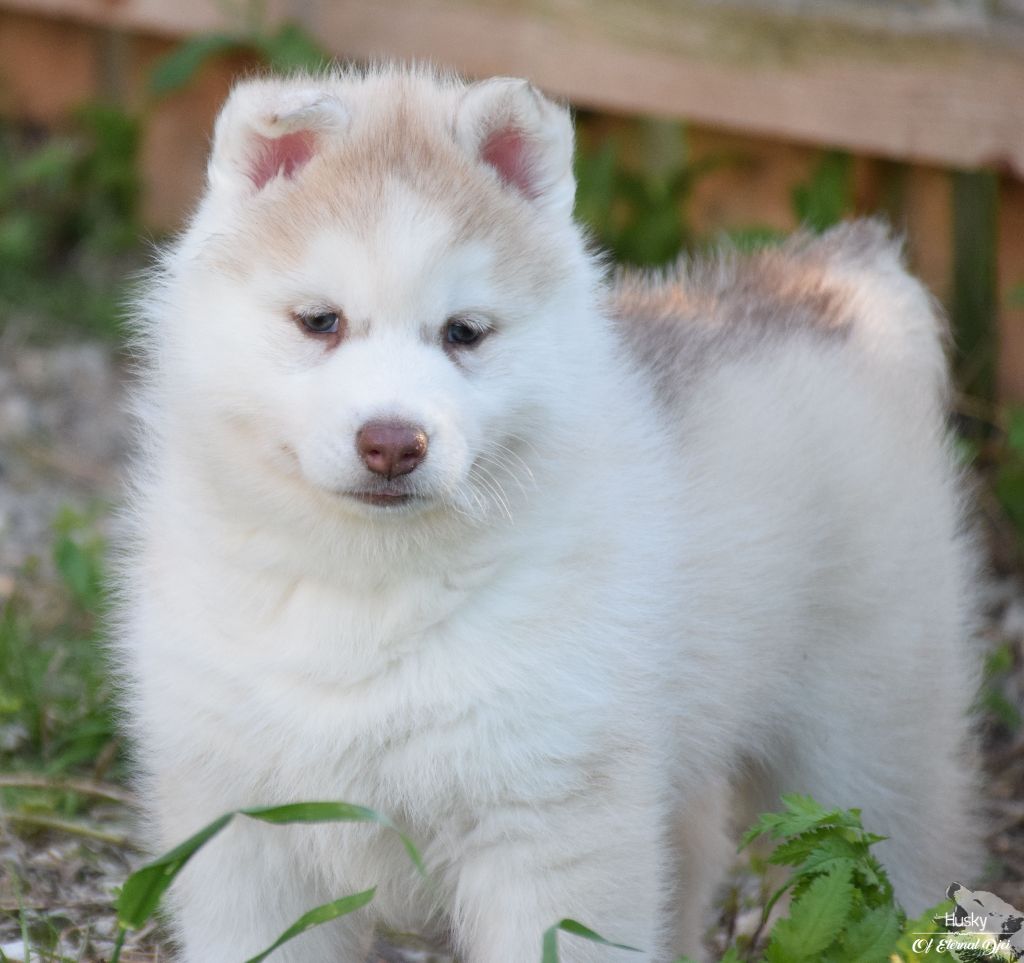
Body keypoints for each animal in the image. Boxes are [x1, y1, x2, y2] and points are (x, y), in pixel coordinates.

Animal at [115, 64, 982, 962]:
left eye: (464, 332)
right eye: (320, 321)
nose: (393, 442)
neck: (369, 589)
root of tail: (839, 278)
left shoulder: (550, 824)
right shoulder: (243, 830)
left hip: (866, 735)